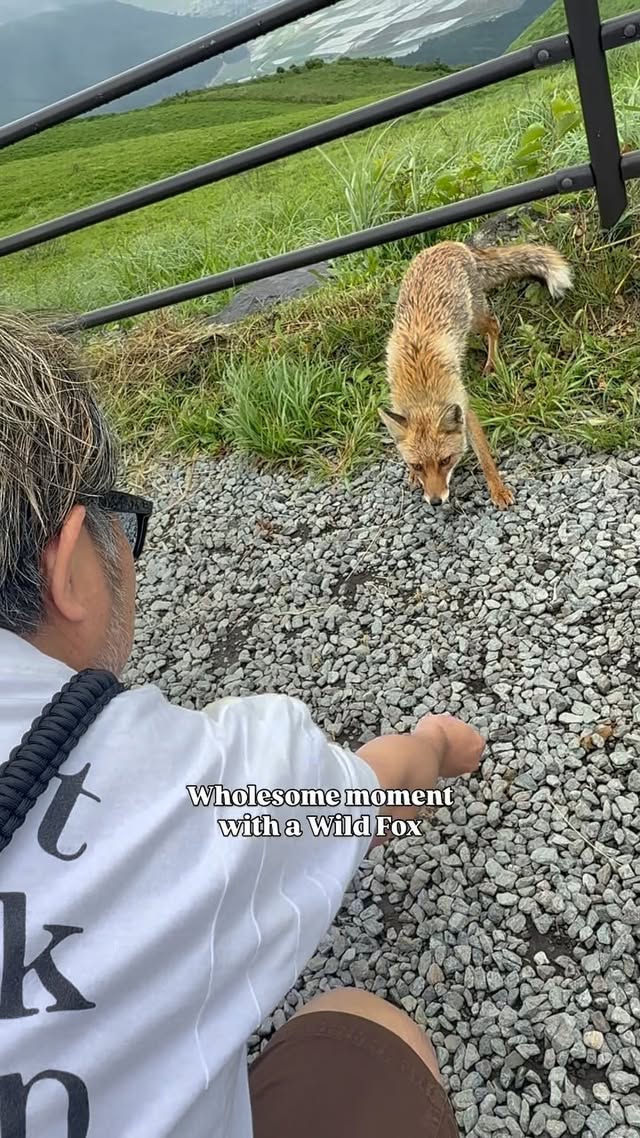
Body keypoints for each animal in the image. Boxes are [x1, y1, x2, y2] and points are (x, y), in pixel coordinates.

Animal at [379, 239, 572, 509]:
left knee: (494, 325)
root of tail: (450, 244)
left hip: (476, 318)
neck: (422, 391)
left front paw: (498, 490)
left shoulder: (465, 409)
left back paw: (492, 364)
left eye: (446, 460)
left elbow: (485, 459)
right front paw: (412, 477)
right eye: (418, 465)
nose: (436, 501)